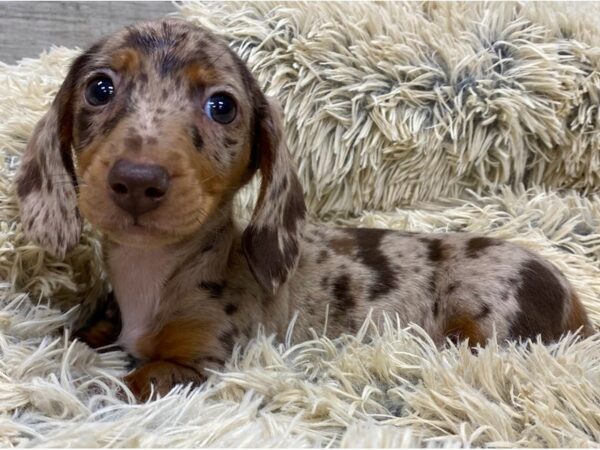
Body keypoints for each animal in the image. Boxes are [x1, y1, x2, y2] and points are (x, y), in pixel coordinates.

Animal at [16, 19, 592, 400]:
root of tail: (573, 298)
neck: (152, 272)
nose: (137, 180)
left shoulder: (201, 360)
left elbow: (134, 379)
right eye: (99, 88)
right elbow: (79, 336)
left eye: (222, 106)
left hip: (489, 325)